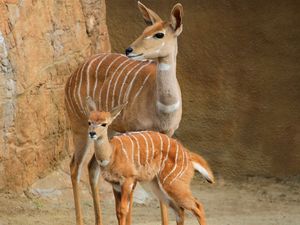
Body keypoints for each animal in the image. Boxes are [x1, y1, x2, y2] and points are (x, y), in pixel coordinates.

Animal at [64, 1, 184, 225]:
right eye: (144, 30)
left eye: (159, 34)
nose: (129, 49)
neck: (162, 107)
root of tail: (73, 74)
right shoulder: (135, 132)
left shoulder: (166, 135)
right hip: (80, 127)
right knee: (75, 166)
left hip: (105, 129)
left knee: (92, 167)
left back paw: (99, 221)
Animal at [85, 97, 214, 225]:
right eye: (89, 122)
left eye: (104, 124)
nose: (92, 133)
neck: (111, 154)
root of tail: (188, 155)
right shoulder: (115, 185)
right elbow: (118, 212)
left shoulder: (128, 180)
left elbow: (123, 210)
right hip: (157, 186)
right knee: (179, 210)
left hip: (174, 184)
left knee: (197, 206)